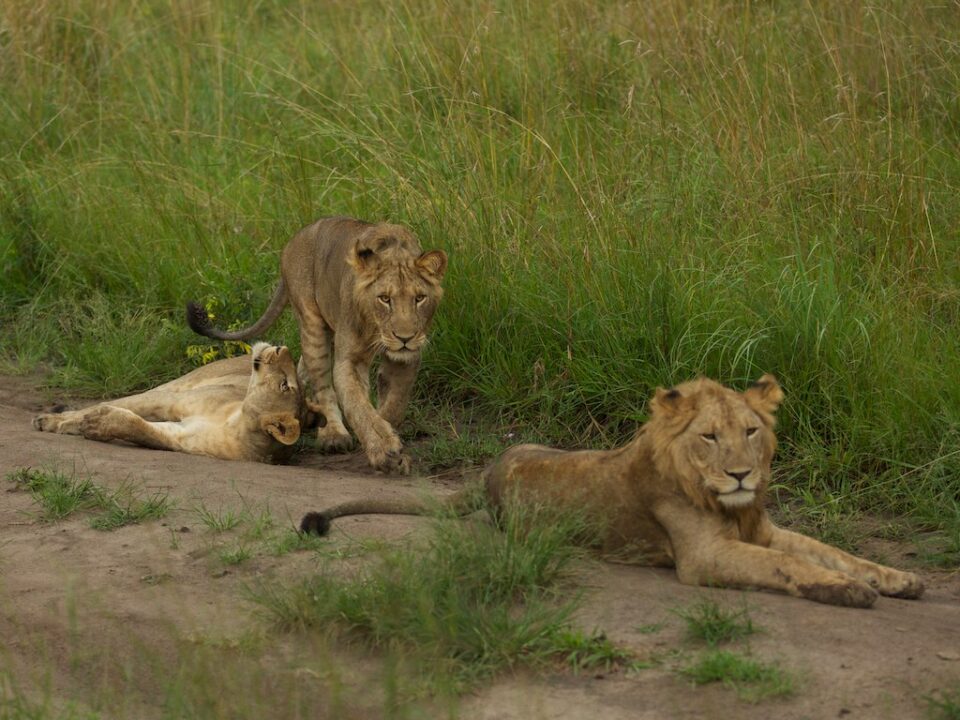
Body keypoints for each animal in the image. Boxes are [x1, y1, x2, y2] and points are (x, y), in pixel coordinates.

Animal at [33, 343, 303, 463]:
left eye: (285, 385)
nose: (281, 347)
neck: (234, 423)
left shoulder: (179, 437)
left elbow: (140, 428)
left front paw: (97, 423)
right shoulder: (171, 401)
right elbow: (123, 405)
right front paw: (54, 420)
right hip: (179, 384)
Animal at [186, 216, 447, 475]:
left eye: (419, 298)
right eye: (384, 299)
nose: (405, 337)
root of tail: (295, 239)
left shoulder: (406, 358)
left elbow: (394, 403)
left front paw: (388, 434)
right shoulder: (349, 359)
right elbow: (357, 404)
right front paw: (383, 449)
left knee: (302, 368)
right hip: (313, 325)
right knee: (321, 383)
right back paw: (332, 435)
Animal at [299, 375, 924, 608]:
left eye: (751, 431)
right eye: (709, 436)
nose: (742, 475)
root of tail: (490, 471)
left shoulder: (763, 528)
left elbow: (833, 551)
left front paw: (898, 578)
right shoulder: (704, 555)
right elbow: (788, 566)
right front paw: (847, 590)